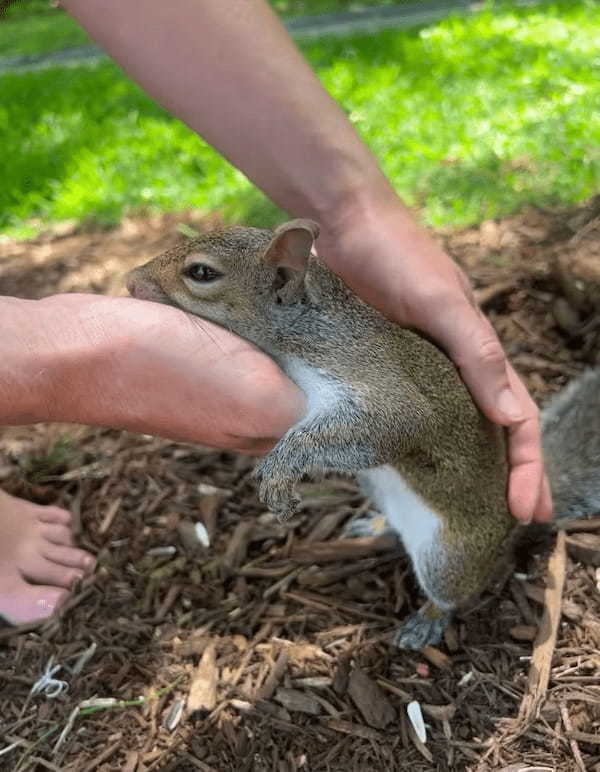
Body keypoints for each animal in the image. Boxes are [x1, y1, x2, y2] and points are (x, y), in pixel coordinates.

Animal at [127, 219, 600, 652]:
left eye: (202, 272)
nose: (130, 280)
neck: (306, 330)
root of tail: (514, 522)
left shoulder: (379, 384)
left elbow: (393, 424)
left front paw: (281, 467)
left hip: (449, 556)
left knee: (455, 591)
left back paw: (427, 620)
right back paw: (375, 525)